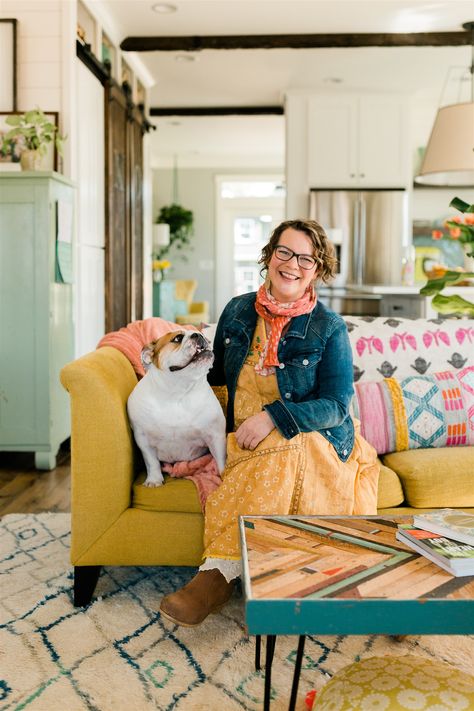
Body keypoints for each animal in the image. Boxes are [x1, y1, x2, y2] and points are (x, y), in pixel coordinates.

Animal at [127, 330, 227, 486]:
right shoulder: (143, 440)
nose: (199, 335)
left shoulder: (216, 435)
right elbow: (151, 461)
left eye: (204, 336)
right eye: (177, 338)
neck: (178, 392)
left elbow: (221, 459)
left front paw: (224, 476)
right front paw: (154, 480)